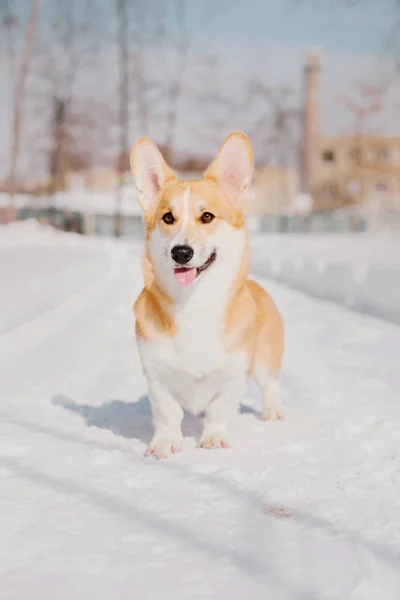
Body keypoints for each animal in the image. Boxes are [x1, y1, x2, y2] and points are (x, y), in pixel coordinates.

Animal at [131, 132, 284, 460]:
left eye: (207, 216)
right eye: (168, 217)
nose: (181, 252)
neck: (194, 303)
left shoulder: (234, 373)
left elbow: (219, 409)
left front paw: (214, 438)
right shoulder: (157, 375)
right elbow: (167, 412)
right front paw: (165, 443)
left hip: (265, 360)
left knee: (270, 385)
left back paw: (273, 411)